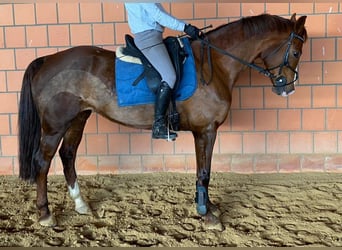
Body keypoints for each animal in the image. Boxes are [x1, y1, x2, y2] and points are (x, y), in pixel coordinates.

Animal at [18, 12, 308, 229]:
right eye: (295, 52)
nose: (288, 89)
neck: (214, 63)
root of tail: (47, 59)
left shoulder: (204, 131)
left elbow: (204, 170)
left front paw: (209, 206)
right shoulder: (206, 130)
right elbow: (204, 172)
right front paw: (208, 214)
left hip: (78, 118)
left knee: (68, 155)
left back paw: (80, 205)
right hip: (55, 126)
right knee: (42, 162)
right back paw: (45, 214)